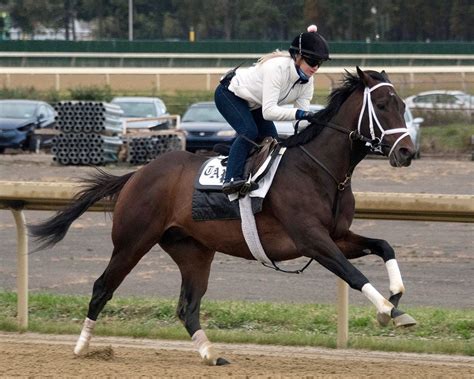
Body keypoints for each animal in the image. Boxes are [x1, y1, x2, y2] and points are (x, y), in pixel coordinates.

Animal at [28, 67, 414, 366]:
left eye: (402, 105)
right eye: (382, 106)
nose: (408, 152)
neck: (320, 170)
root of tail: (137, 174)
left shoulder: (337, 236)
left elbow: (384, 245)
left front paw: (397, 297)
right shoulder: (312, 240)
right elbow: (352, 274)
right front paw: (390, 311)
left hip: (193, 251)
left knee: (187, 306)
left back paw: (211, 354)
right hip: (132, 241)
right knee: (102, 287)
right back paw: (82, 347)